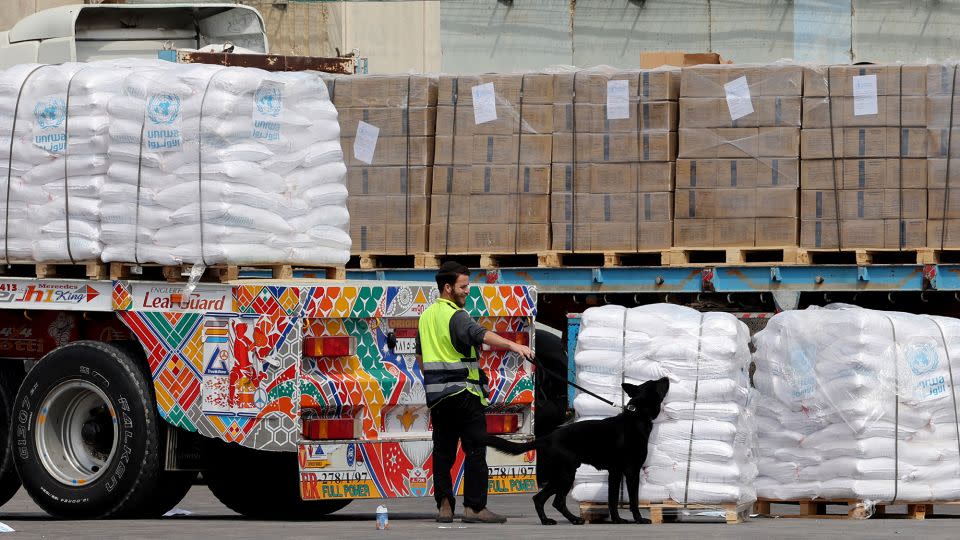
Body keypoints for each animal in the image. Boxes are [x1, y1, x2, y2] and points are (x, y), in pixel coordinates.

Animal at [488, 378, 668, 524]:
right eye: (655, 383)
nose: (666, 377)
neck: (637, 416)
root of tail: (547, 438)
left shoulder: (615, 473)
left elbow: (612, 499)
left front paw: (617, 520)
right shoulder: (632, 471)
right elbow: (633, 500)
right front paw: (639, 519)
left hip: (560, 475)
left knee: (540, 498)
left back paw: (547, 520)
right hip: (566, 474)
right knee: (556, 501)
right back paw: (573, 519)